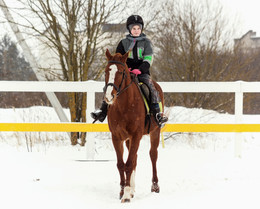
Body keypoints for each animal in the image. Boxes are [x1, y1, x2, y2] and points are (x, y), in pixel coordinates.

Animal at [103, 49, 165, 202]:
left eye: (121, 72)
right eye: (106, 71)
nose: (109, 97)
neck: (124, 106)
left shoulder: (136, 135)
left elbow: (129, 164)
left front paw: (125, 195)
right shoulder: (117, 137)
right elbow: (121, 164)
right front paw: (123, 191)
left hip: (155, 132)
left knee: (153, 155)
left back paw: (155, 187)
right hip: (128, 140)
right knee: (135, 158)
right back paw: (132, 188)